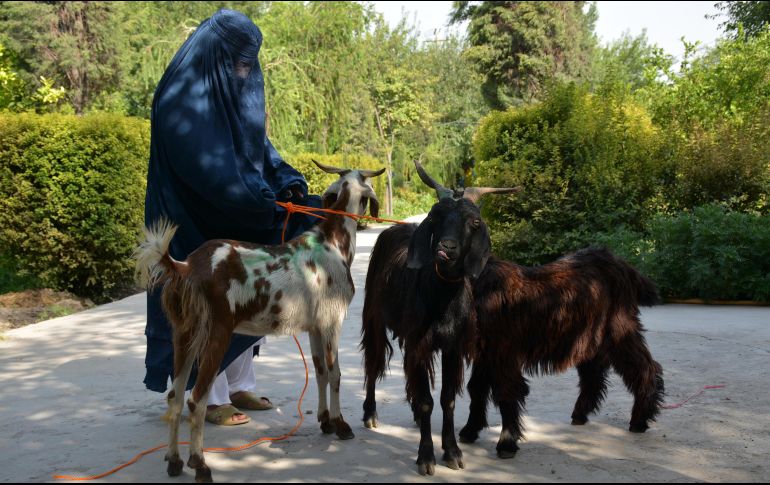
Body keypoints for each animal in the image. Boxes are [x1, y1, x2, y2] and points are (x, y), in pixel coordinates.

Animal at [135, 160, 384, 480]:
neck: (332, 241)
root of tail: (186, 266)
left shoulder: (314, 327)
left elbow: (319, 372)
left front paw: (325, 420)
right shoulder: (332, 321)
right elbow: (335, 373)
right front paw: (341, 425)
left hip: (184, 334)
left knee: (175, 396)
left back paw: (175, 461)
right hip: (216, 334)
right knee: (196, 400)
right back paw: (199, 464)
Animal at [460, 248, 664, 460]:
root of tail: (617, 261)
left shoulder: (502, 353)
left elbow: (506, 392)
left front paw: (506, 443)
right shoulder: (485, 355)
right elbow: (476, 389)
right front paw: (470, 430)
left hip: (620, 332)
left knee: (645, 369)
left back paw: (639, 420)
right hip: (587, 340)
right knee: (593, 377)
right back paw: (580, 414)